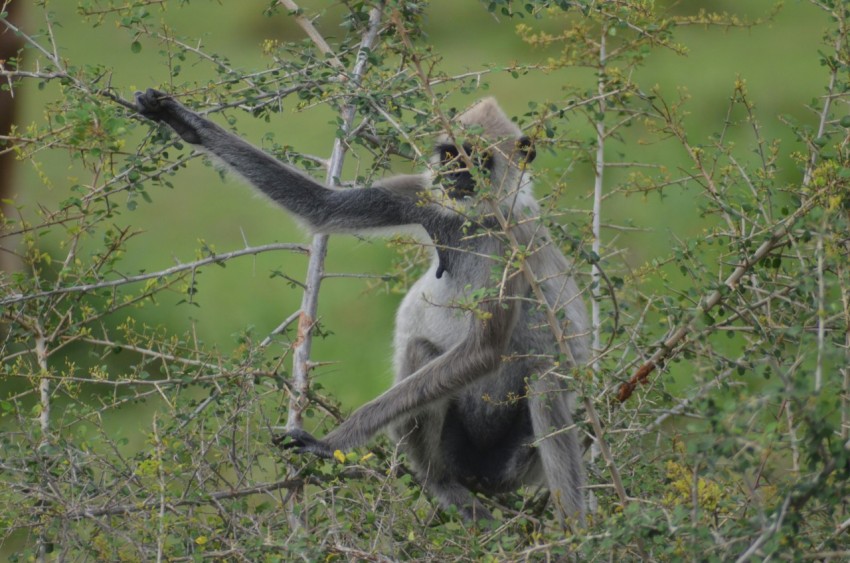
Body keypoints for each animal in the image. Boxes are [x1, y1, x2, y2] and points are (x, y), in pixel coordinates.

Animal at [135, 89, 590, 524]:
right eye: (449, 155)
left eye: (477, 160)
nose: (455, 176)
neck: (476, 219)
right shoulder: (425, 195)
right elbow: (322, 206)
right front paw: (183, 122)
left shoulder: (512, 243)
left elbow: (486, 349)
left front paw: (329, 443)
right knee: (427, 354)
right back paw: (442, 484)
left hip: (519, 464)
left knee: (545, 383)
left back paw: (573, 530)